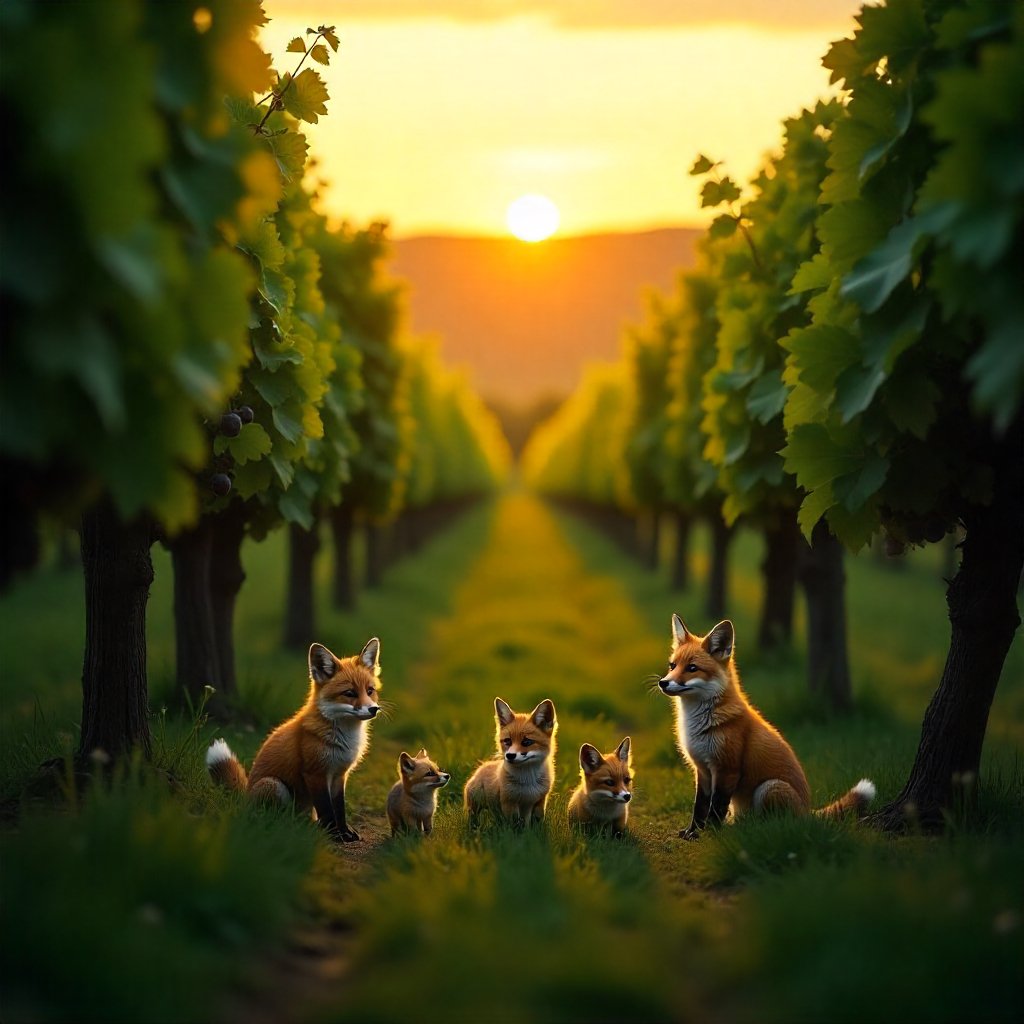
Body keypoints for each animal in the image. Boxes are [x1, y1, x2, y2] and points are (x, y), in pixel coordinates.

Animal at [206, 638, 383, 842]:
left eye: (370, 691)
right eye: (350, 693)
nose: (373, 709)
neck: (344, 738)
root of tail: (245, 798)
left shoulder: (340, 774)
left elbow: (339, 809)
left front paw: (345, 832)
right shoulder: (315, 773)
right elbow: (327, 810)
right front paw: (334, 835)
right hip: (274, 785)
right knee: (272, 820)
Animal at [464, 697, 557, 826]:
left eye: (527, 742)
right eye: (507, 741)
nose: (510, 756)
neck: (527, 782)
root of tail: (482, 767)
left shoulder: (540, 801)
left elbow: (534, 823)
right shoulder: (509, 802)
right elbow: (513, 825)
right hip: (476, 804)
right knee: (474, 817)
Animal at [658, 614, 875, 840]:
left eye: (692, 668)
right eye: (672, 666)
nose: (663, 682)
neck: (699, 724)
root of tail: (807, 812)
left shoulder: (727, 769)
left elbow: (716, 808)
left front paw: (711, 834)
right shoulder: (702, 769)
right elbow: (699, 806)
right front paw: (692, 832)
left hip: (769, 787)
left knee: (774, 824)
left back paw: (756, 830)